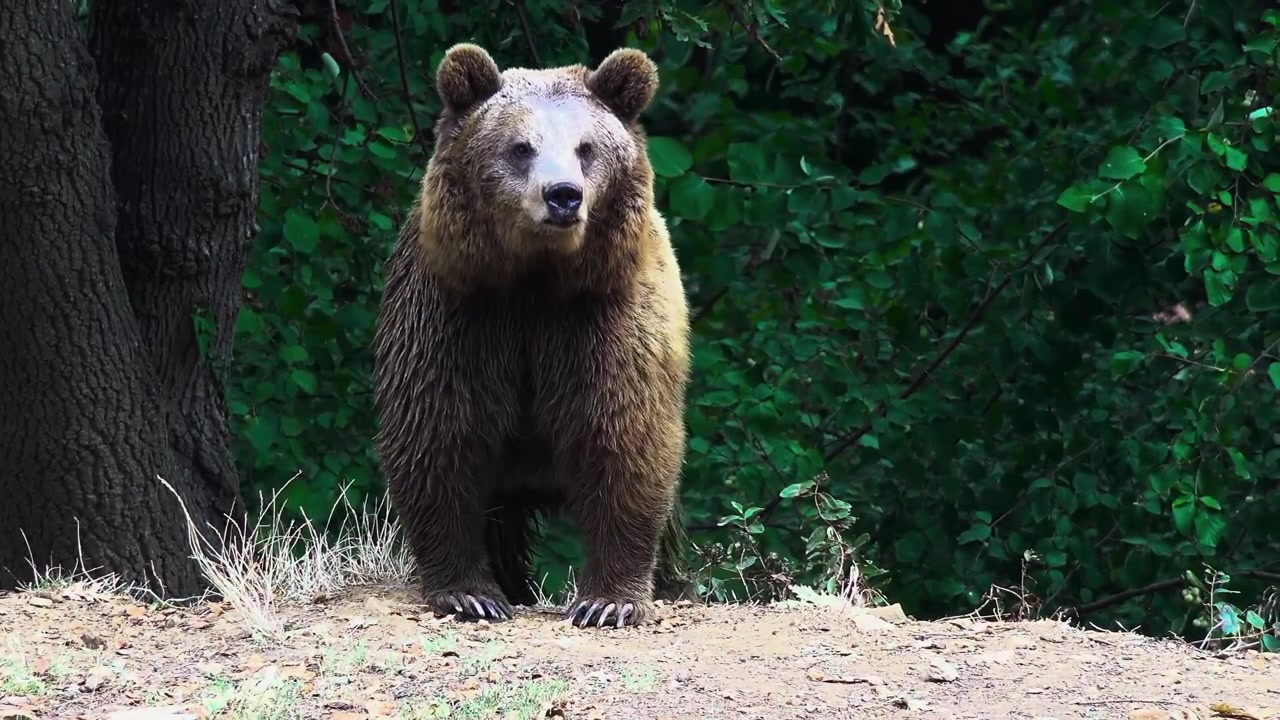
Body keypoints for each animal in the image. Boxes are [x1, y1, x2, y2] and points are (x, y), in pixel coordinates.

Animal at [373, 42, 692, 629]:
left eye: (586, 147)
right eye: (521, 147)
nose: (563, 195)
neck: (534, 284)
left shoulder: (603, 322)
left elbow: (625, 441)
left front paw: (607, 601)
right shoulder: (457, 317)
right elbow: (438, 433)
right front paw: (470, 593)